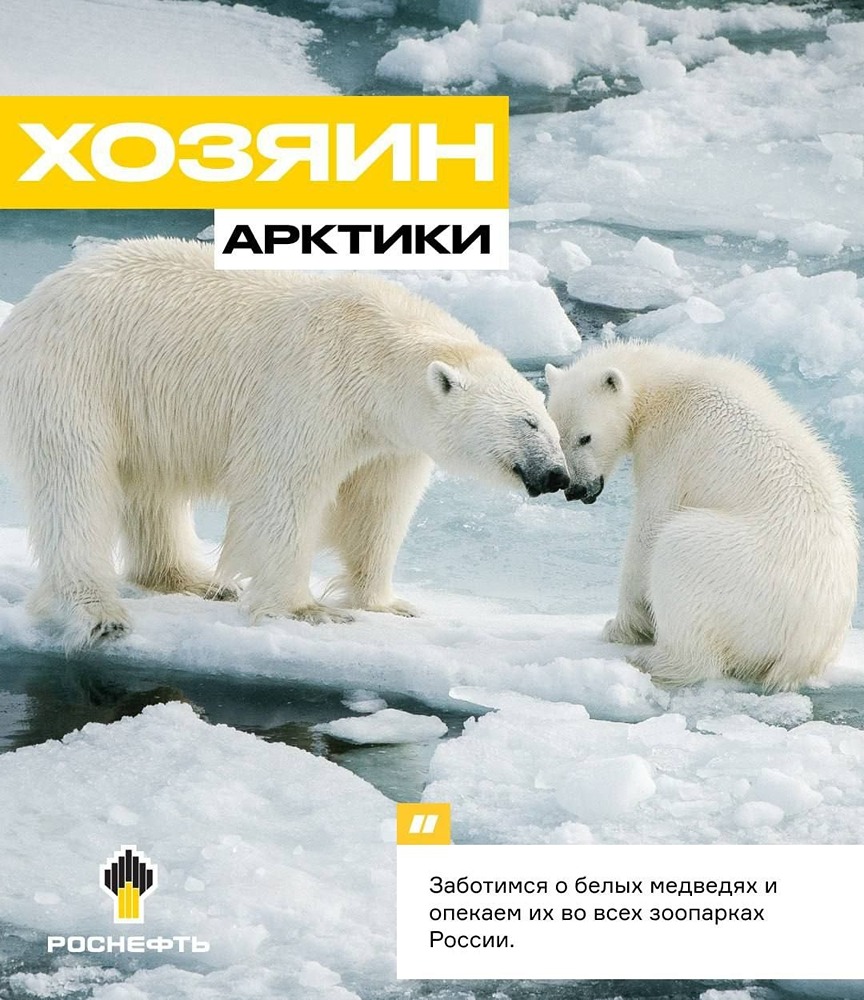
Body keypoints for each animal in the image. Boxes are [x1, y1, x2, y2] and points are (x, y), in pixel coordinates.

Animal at [0, 237, 570, 648]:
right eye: (528, 423)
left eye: (550, 424)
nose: (558, 475)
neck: (374, 351)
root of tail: (30, 305)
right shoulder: (309, 390)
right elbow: (282, 491)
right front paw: (307, 610)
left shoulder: (390, 440)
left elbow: (376, 508)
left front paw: (388, 603)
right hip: (76, 378)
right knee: (76, 486)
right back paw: (99, 613)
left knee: (152, 489)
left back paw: (193, 579)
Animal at [545, 341, 858, 691]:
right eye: (557, 437)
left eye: (585, 437)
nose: (574, 488)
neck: (662, 383)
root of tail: (803, 654)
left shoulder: (669, 447)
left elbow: (649, 527)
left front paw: (619, 627)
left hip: (742, 573)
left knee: (678, 549)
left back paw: (652, 659)